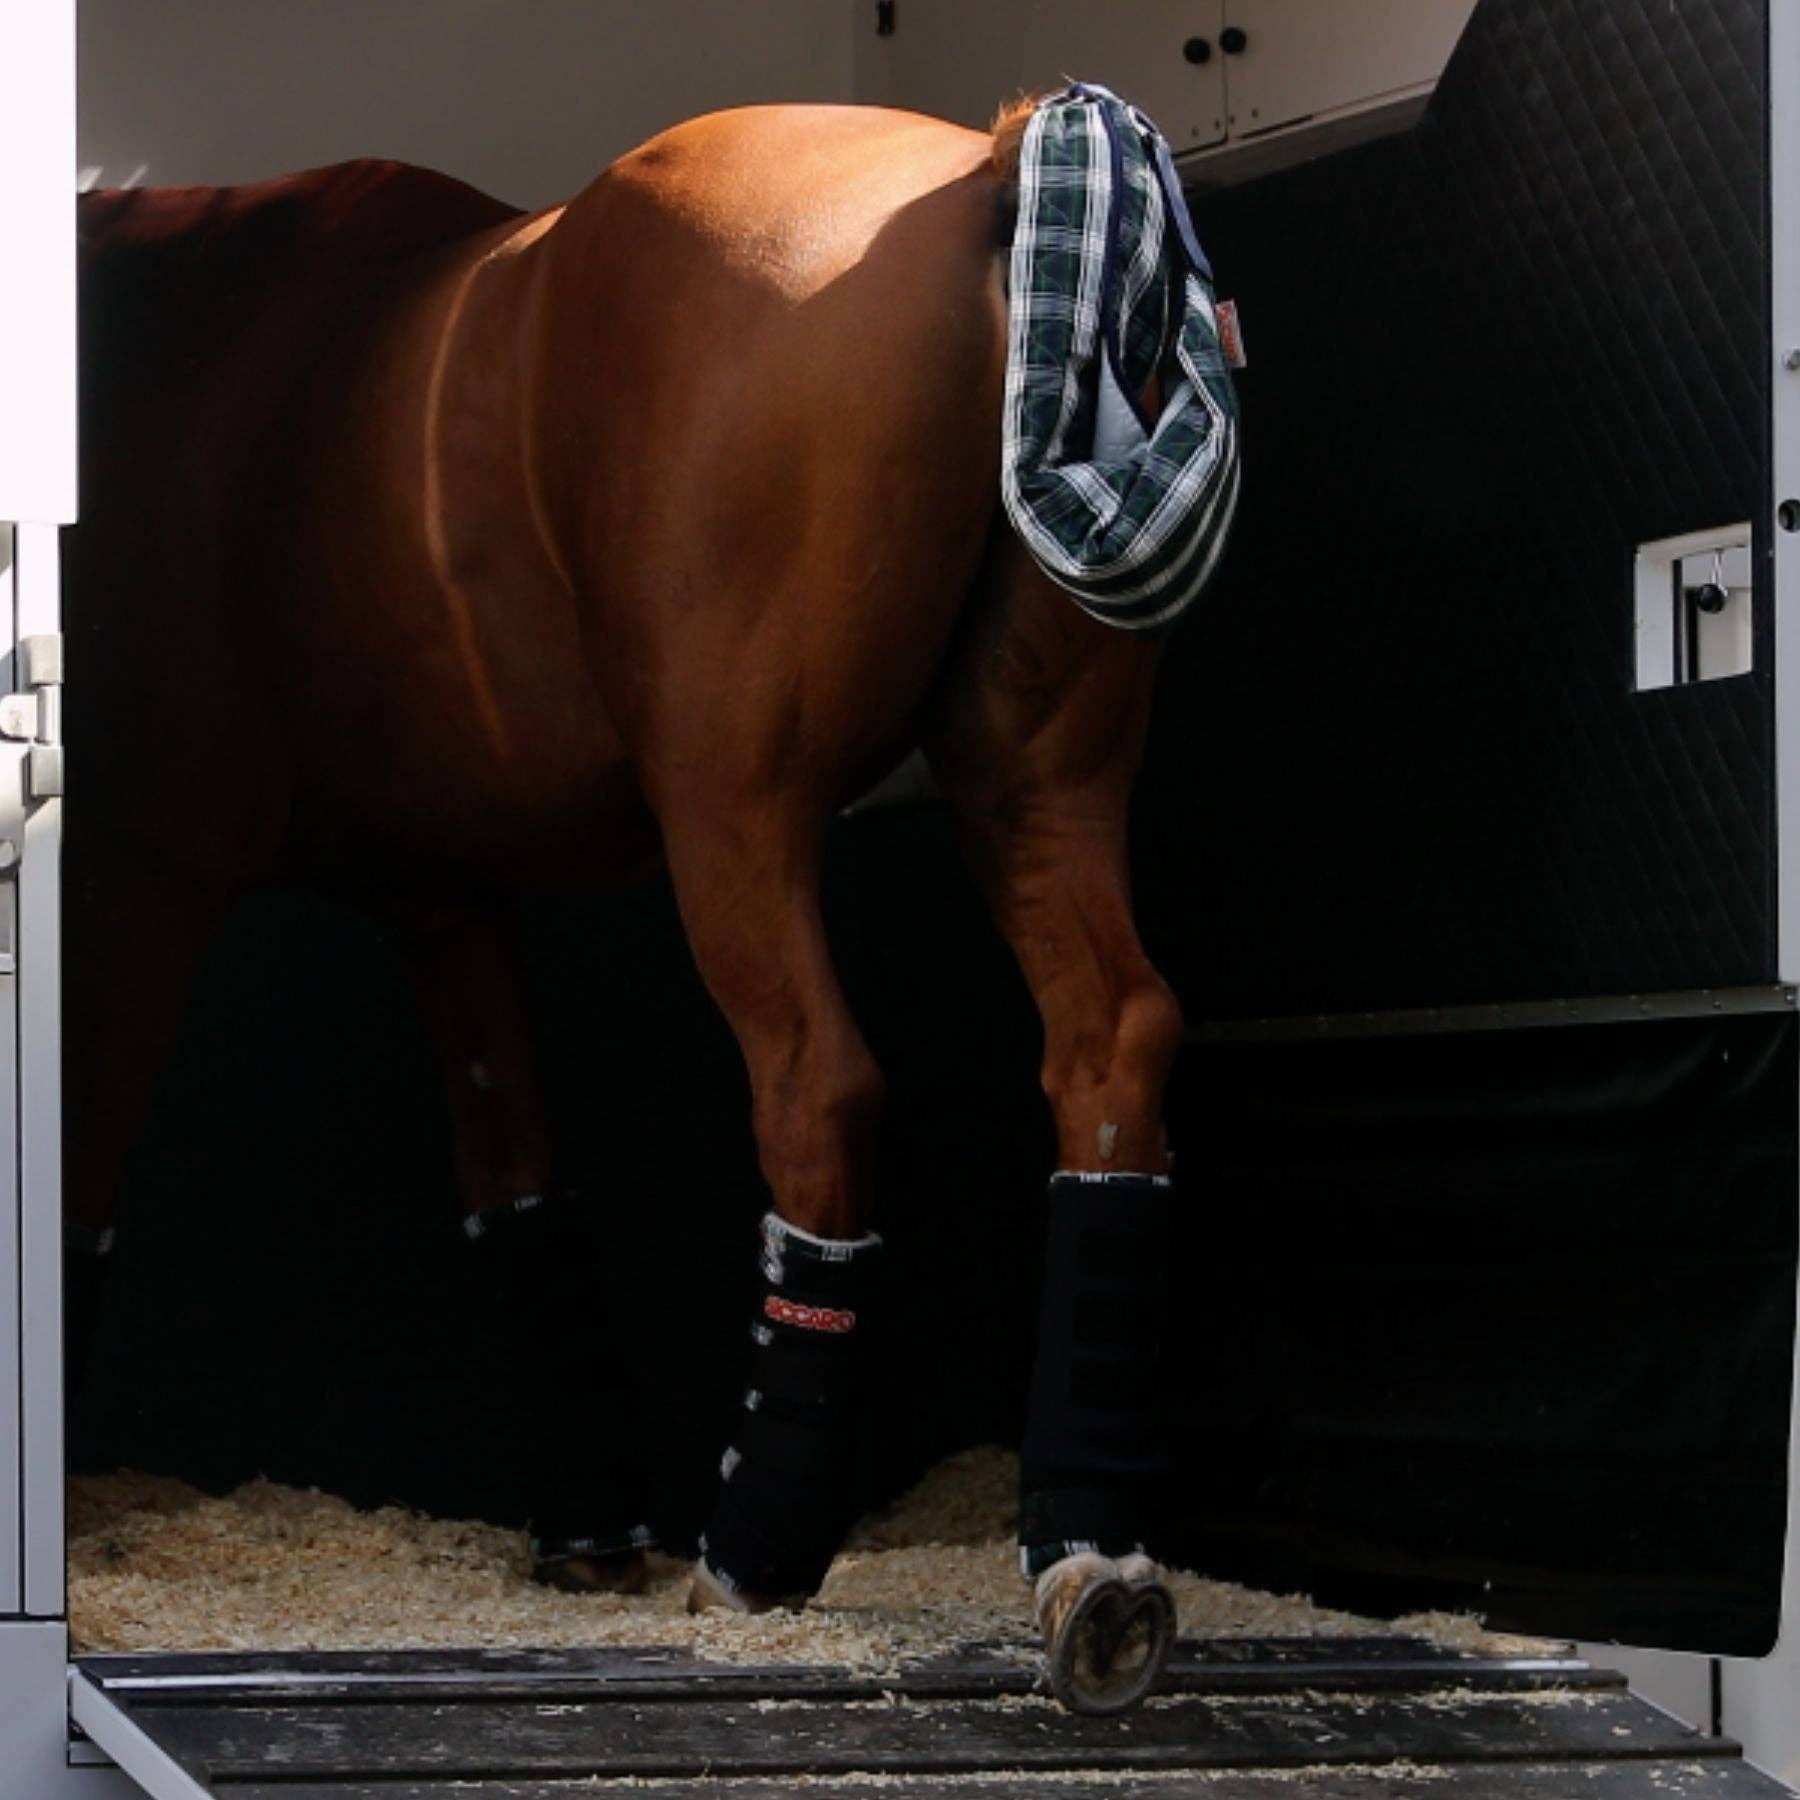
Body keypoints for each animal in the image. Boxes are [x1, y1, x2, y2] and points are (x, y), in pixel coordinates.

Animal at [64, 90, 1236, 1713]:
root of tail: (992, 166)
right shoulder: (448, 897)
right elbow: (516, 1184)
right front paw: (587, 1525)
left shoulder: (139, 873)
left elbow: (79, 1188)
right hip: (1033, 789)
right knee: (1113, 1046)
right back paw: (1090, 1551)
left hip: (733, 815)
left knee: (820, 1086)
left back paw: (756, 1550)